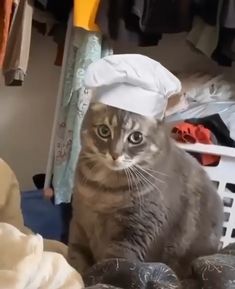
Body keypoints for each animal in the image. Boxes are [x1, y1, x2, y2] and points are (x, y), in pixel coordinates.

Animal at [68, 102, 224, 278]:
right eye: (104, 131)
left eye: (136, 137)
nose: (115, 154)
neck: (104, 190)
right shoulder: (79, 224)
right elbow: (76, 261)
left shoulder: (135, 233)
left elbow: (112, 265)